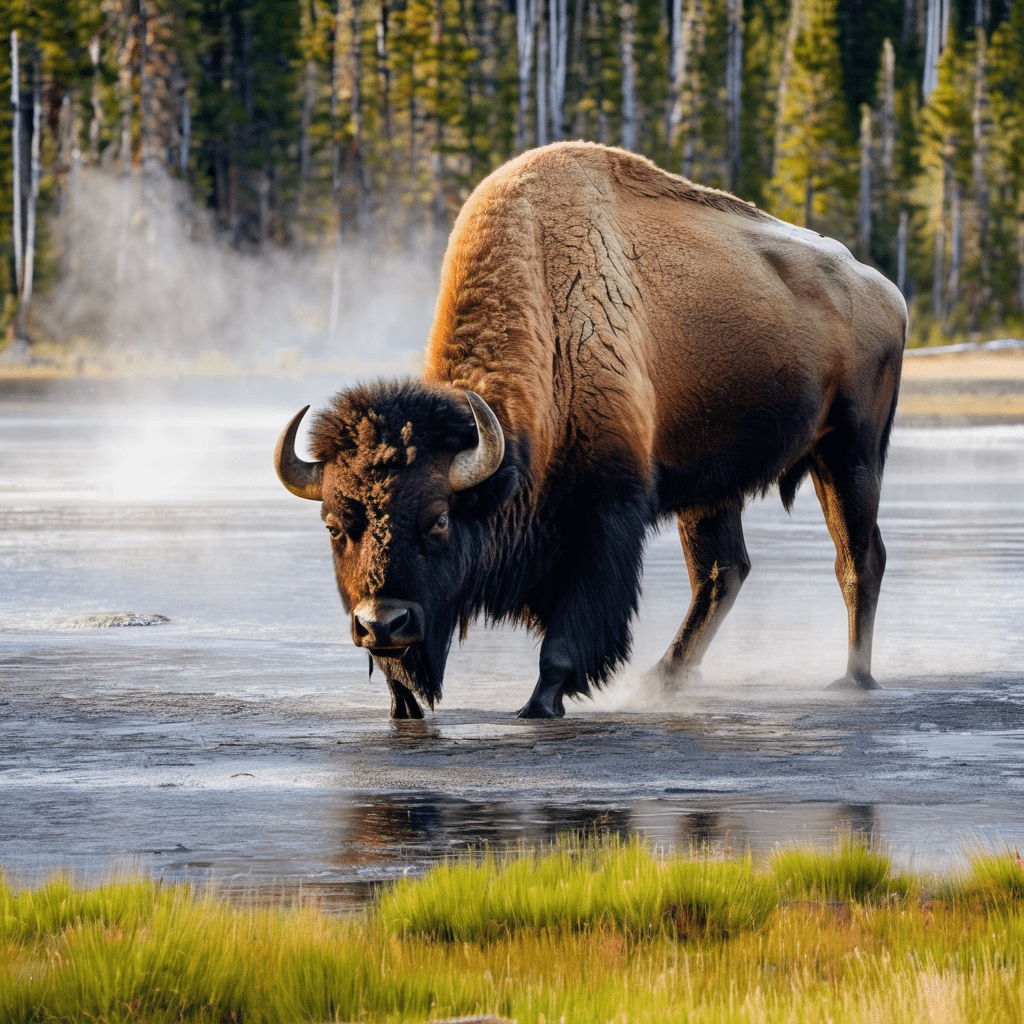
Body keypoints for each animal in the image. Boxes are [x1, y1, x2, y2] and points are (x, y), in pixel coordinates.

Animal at [275, 142, 907, 719]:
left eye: (438, 521)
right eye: (334, 526)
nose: (383, 623)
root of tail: (884, 290)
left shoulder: (604, 516)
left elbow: (568, 635)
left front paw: (539, 705)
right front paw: (403, 703)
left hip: (849, 454)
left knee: (857, 560)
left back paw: (852, 679)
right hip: (713, 484)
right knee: (723, 572)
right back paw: (665, 680)